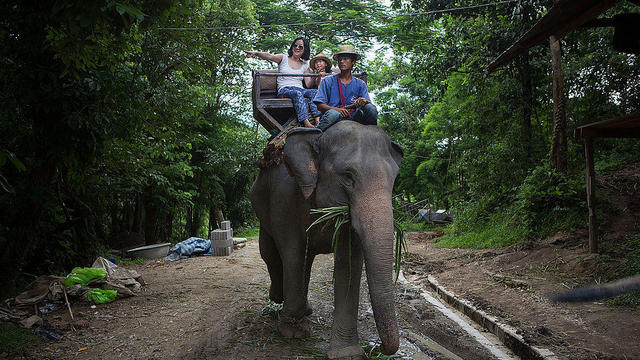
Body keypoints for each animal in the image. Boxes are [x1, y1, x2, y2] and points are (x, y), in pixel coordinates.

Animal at [251, 120, 404, 358]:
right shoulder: (284, 196)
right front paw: (293, 333)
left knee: (305, 262)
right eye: (348, 176)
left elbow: (348, 264)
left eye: (394, 178)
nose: (377, 347)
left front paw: (347, 353)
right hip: (260, 203)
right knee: (270, 253)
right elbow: (292, 253)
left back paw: (304, 308)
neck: (319, 137)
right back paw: (278, 298)